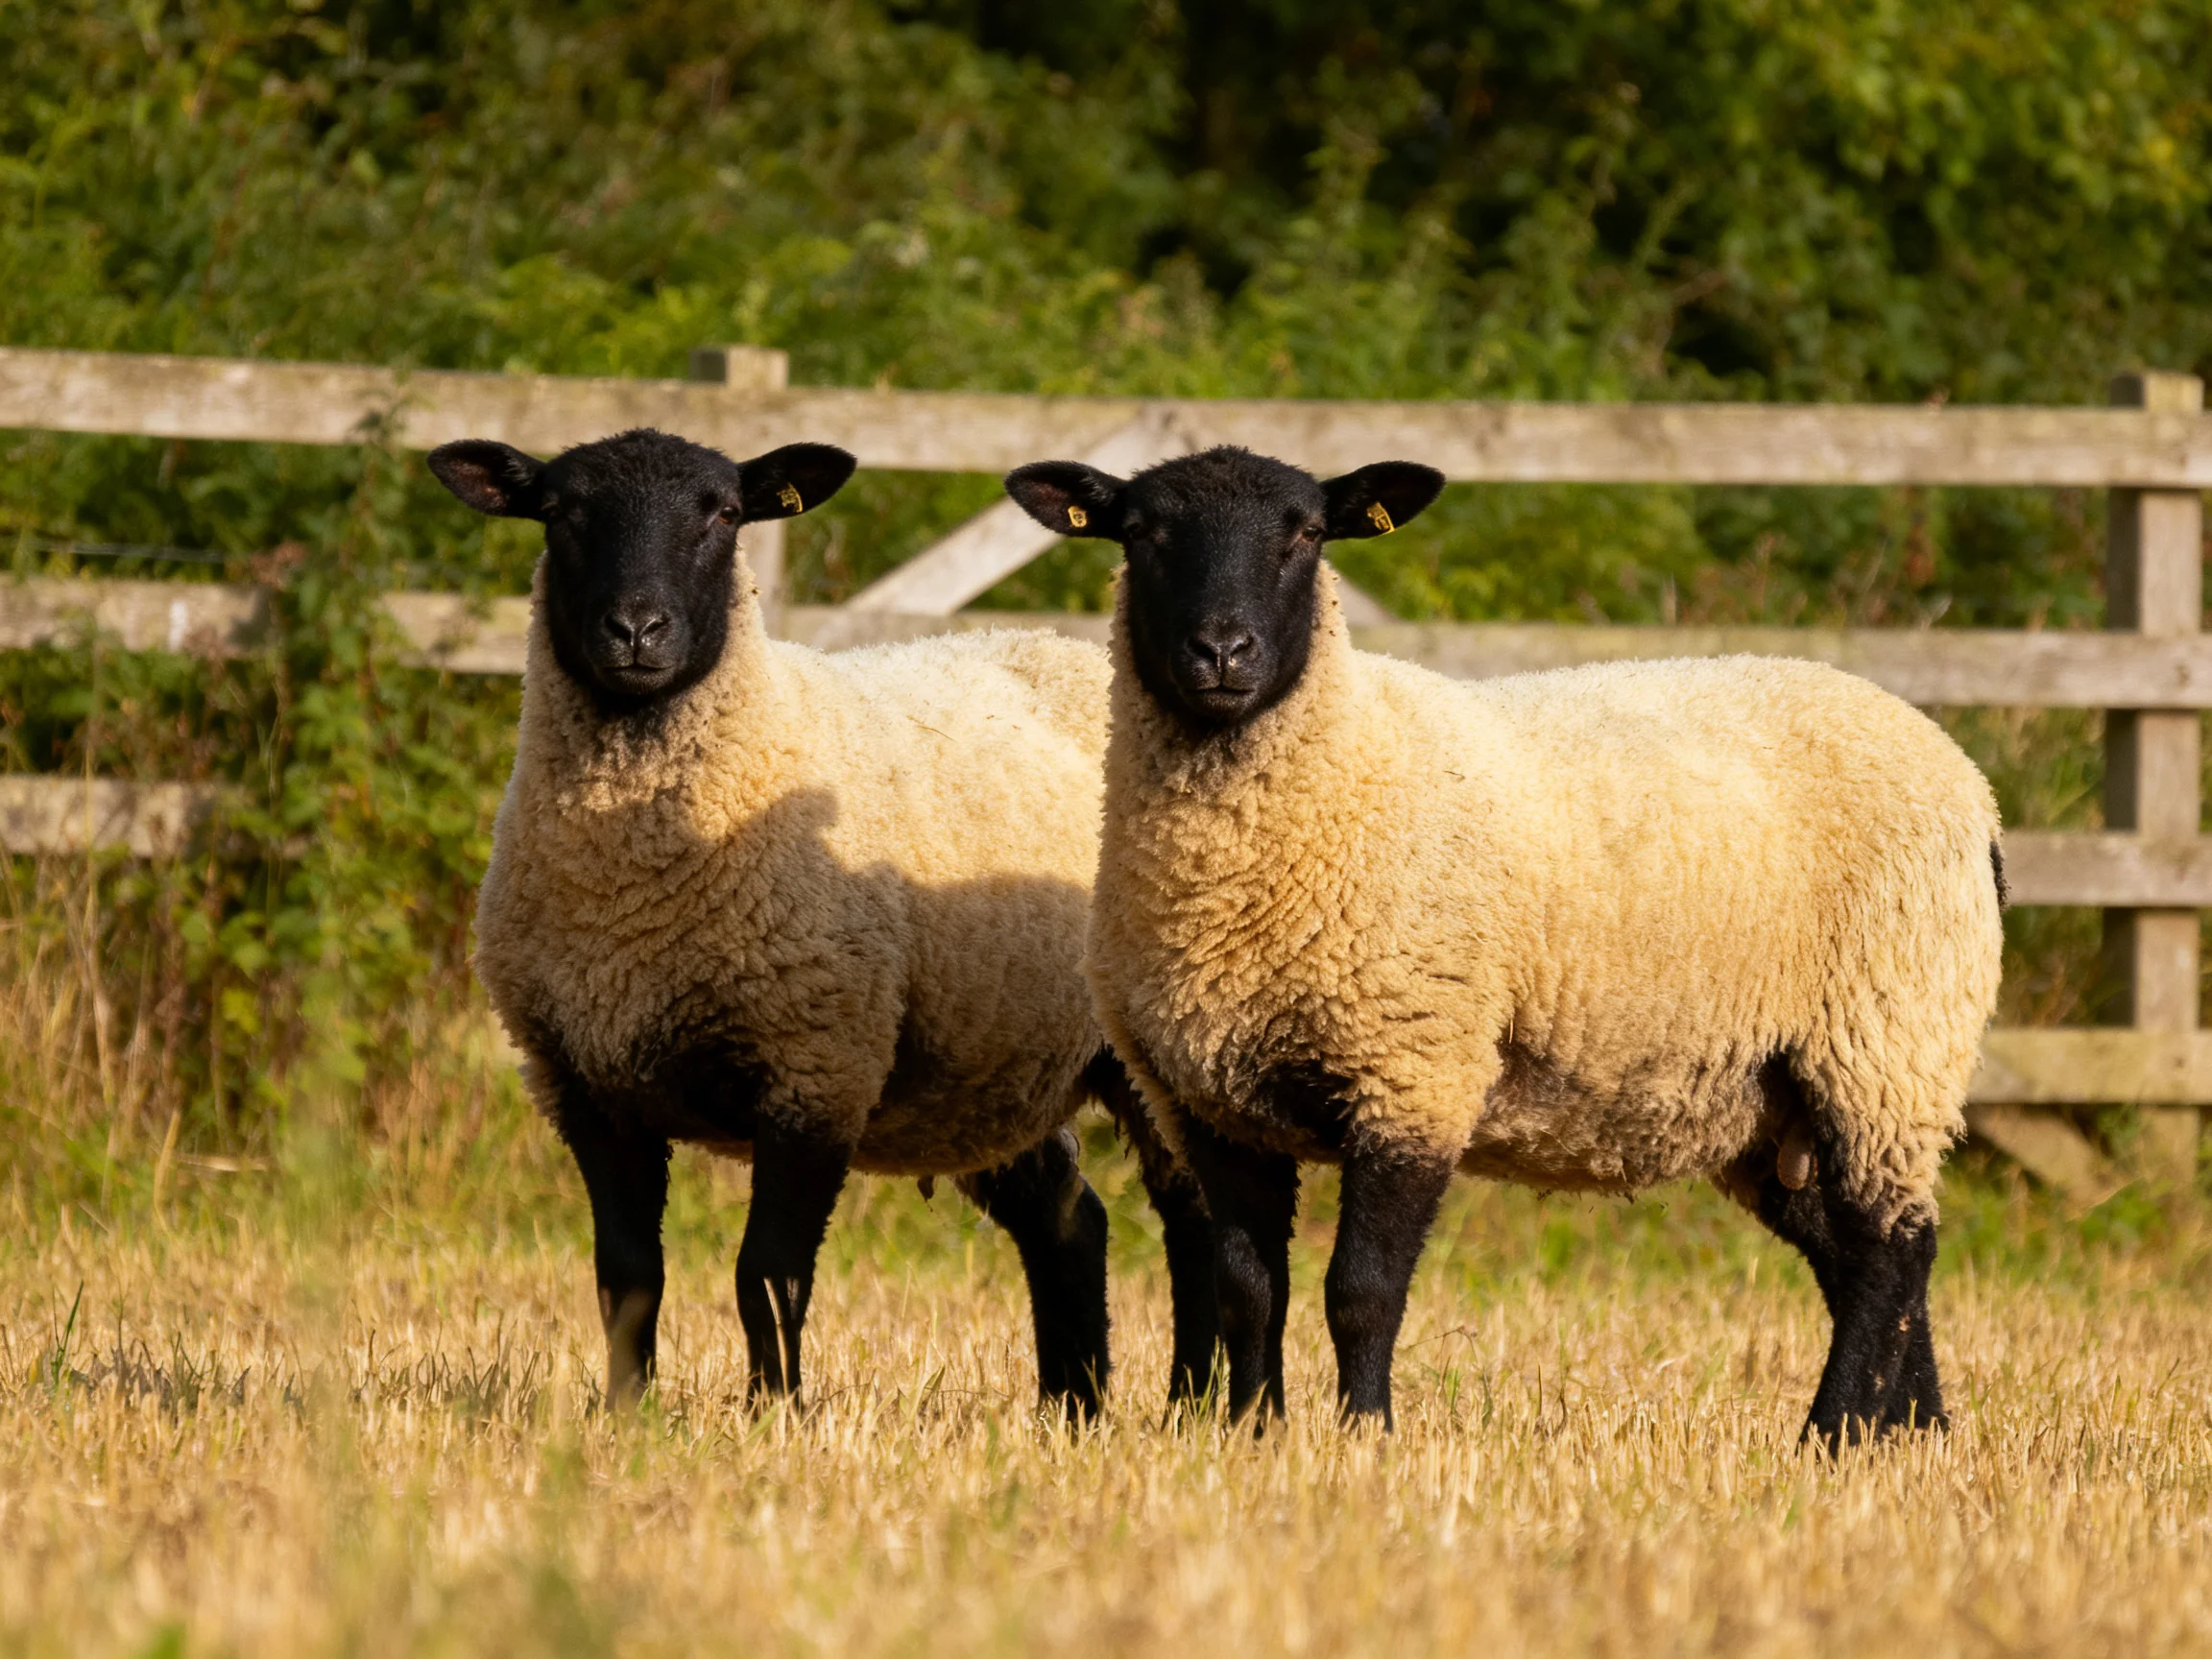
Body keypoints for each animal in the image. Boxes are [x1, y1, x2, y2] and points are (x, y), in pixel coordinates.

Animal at [426, 427, 1217, 1418]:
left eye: (724, 513)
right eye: (561, 511)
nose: (637, 632)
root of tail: (1059, 646)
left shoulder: (816, 1066)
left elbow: (766, 1275)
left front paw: (774, 1415)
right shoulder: (585, 1083)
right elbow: (627, 1275)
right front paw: (624, 1416)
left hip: (1143, 1046)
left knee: (1194, 1217)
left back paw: (1194, 1405)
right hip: (987, 1059)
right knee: (1071, 1221)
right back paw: (1071, 1409)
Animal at [1005, 444, 2005, 1446]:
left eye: (1306, 534)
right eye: (1141, 532)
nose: (1222, 652)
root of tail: (1967, 780)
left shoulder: (1414, 1071)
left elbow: (1360, 1292)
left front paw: (1365, 1434)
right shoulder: (1209, 1100)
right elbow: (1249, 1291)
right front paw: (1255, 1435)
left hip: (1888, 1040)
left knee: (1890, 1248)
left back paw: (1830, 1437)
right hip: (1769, 1092)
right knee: (1865, 1252)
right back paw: (1910, 1434)